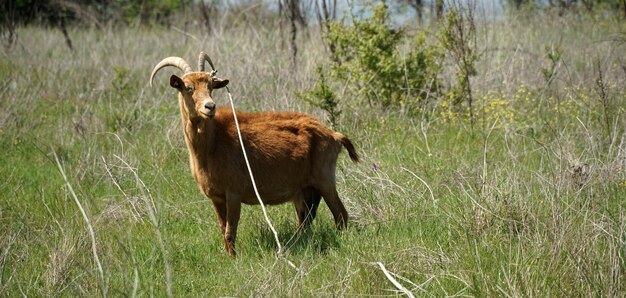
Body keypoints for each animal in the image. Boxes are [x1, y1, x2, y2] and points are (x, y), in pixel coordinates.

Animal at [149, 51, 358, 256]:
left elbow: (230, 231)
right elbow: (222, 228)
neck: (213, 143)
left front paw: (234, 260)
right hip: (304, 189)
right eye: (188, 87)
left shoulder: (234, 192)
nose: (210, 107)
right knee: (305, 220)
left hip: (325, 178)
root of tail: (334, 135)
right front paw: (229, 256)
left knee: (340, 214)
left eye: (211, 87)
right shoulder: (216, 197)